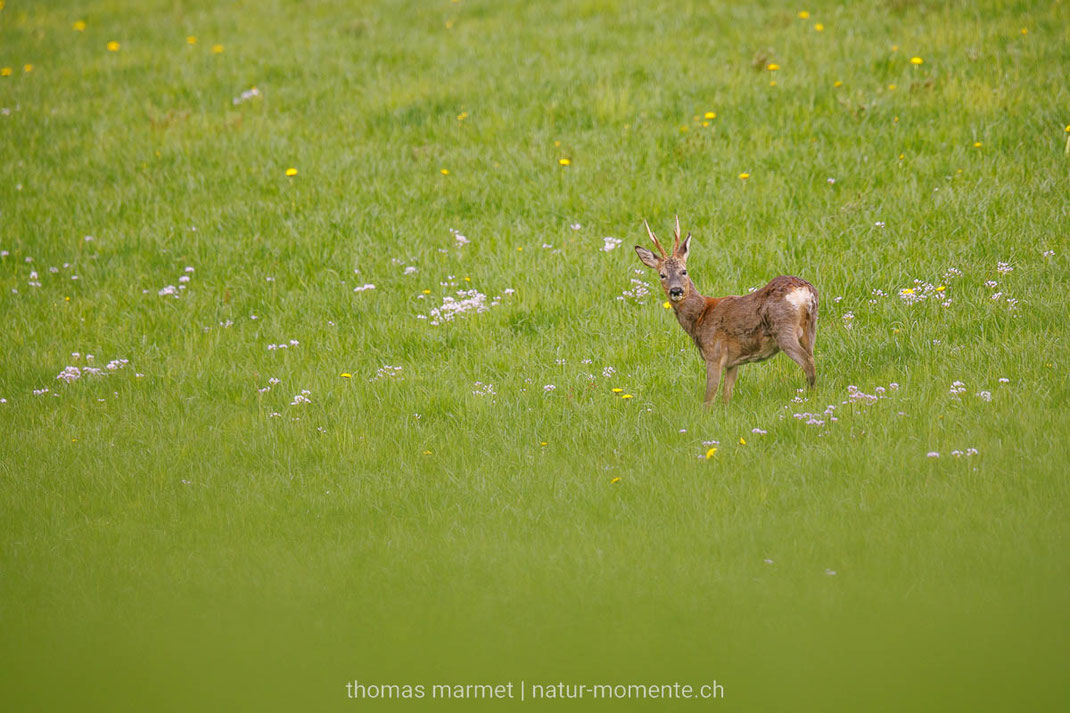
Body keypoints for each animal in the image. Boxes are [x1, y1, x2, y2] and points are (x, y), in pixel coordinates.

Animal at [633, 215, 817, 404]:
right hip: (810, 329)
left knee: (808, 363)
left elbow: (709, 398)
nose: (676, 290)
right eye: (662, 275)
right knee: (812, 357)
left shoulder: (714, 354)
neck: (700, 316)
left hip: (783, 328)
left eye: (684, 271)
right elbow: (726, 395)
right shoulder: (733, 362)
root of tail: (804, 291)